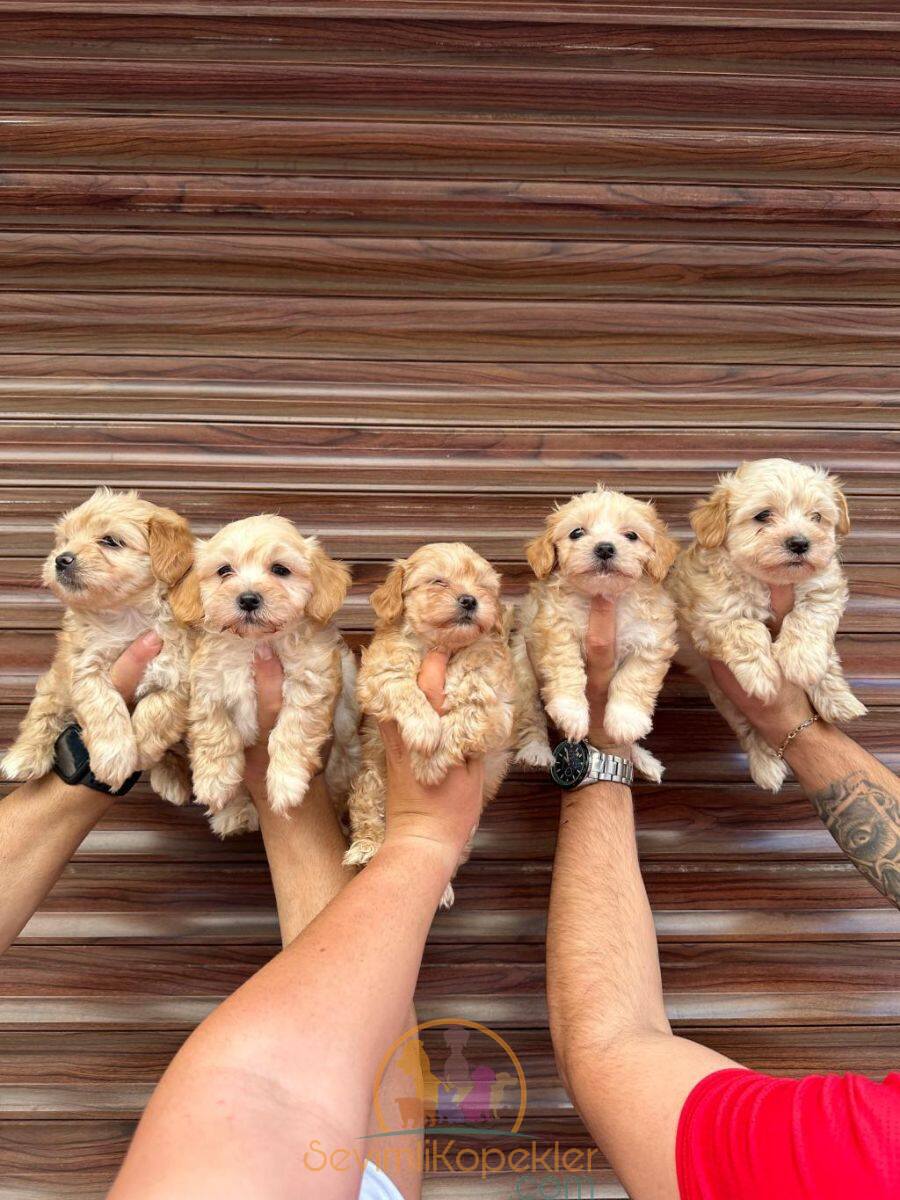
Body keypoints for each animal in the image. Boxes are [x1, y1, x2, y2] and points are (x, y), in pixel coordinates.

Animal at [0, 482, 196, 801]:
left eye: (110, 541)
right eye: (65, 540)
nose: (61, 558)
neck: (127, 614)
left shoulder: (179, 673)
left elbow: (157, 712)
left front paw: (141, 751)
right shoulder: (85, 665)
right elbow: (105, 706)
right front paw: (115, 757)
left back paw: (171, 776)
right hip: (55, 683)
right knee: (43, 713)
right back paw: (24, 756)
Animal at [180, 511, 362, 840]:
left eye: (280, 570)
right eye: (224, 570)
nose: (248, 598)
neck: (256, 643)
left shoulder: (312, 679)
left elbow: (292, 730)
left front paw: (286, 782)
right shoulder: (207, 681)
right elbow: (214, 729)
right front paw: (214, 781)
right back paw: (234, 812)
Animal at [343, 540, 513, 902]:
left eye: (483, 587)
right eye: (438, 581)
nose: (470, 599)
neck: (442, 646)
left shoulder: (493, 704)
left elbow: (464, 716)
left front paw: (428, 764)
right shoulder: (378, 674)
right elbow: (404, 686)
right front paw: (425, 731)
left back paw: (444, 888)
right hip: (371, 780)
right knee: (368, 814)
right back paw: (366, 848)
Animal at [513, 482, 676, 782]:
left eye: (631, 535)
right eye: (577, 532)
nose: (605, 548)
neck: (604, 596)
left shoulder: (651, 639)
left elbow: (634, 679)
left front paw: (626, 720)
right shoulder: (557, 628)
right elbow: (567, 670)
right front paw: (572, 711)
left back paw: (642, 758)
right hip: (524, 679)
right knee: (531, 717)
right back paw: (535, 751)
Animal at [672, 453, 868, 792]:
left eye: (816, 517)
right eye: (763, 515)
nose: (800, 543)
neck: (772, 581)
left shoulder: (824, 588)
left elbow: (809, 620)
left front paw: (804, 663)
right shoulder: (712, 613)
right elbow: (745, 629)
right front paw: (762, 674)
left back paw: (841, 702)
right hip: (726, 697)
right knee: (748, 728)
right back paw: (766, 767)